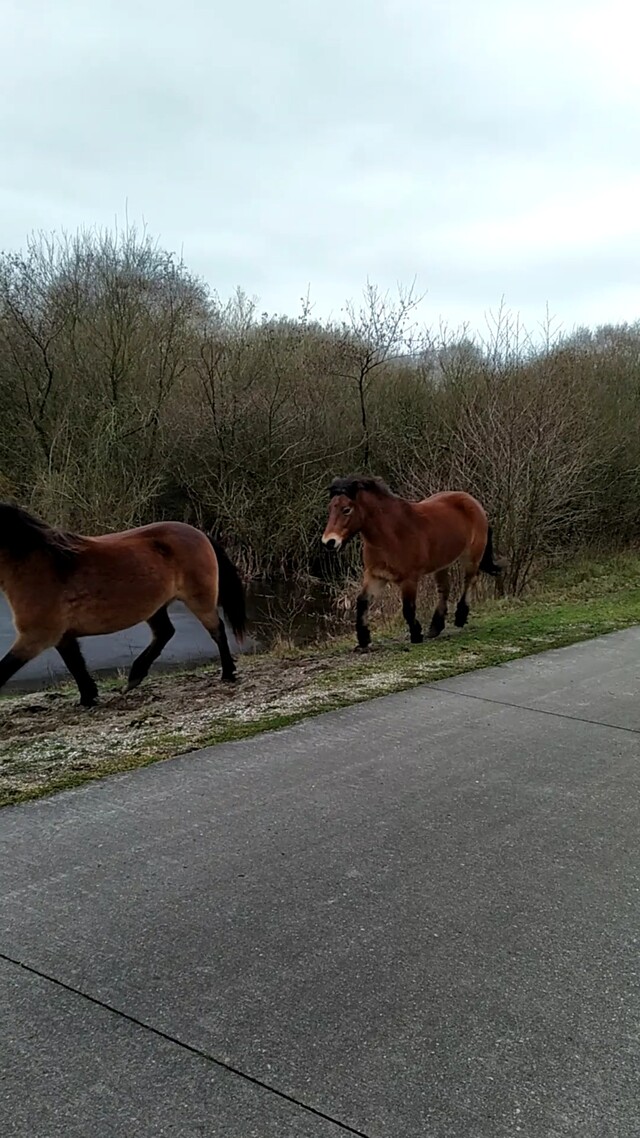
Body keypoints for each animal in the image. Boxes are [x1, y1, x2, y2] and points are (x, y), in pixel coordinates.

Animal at [0, 503, 247, 706]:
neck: (40, 565)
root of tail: (199, 533)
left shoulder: (36, 637)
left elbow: (4, 669)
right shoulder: (61, 636)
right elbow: (76, 664)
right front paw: (88, 697)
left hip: (199, 600)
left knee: (217, 630)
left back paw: (227, 673)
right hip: (155, 607)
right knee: (165, 633)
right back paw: (134, 677)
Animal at [322, 476, 504, 650]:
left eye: (346, 509)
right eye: (330, 508)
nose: (329, 542)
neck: (391, 535)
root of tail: (472, 500)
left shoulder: (409, 579)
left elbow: (408, 608)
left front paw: (416, 634)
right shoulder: (376, 576)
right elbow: (362, 602)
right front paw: (363, 640)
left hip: (471, 557)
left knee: (470, 581)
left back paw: (460, 617)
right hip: (441, 565)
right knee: (444, 589)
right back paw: (436, 627)